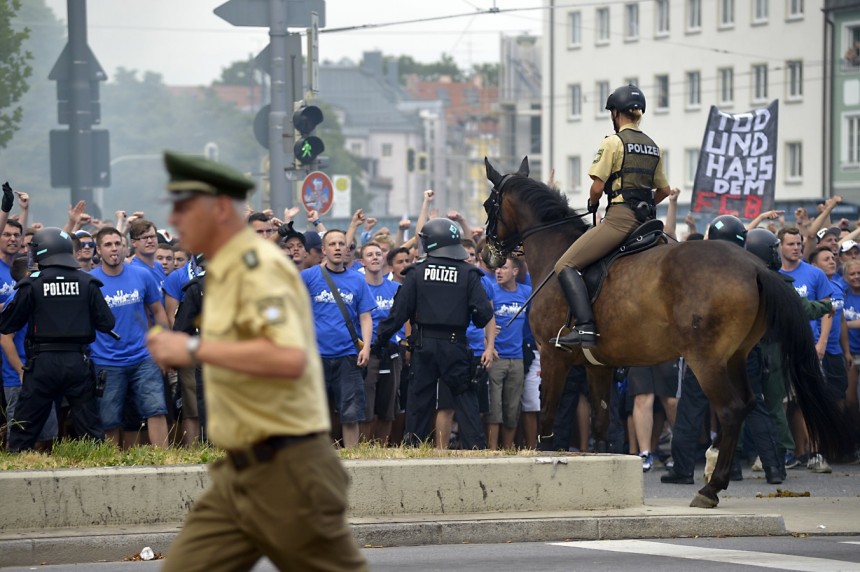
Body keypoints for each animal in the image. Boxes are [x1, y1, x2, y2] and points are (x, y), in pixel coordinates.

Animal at [480, 155, 848, 504]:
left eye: (488, 205)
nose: (485, 252)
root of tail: (754, 267)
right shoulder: (598, 366)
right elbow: (601, 423)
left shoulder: (553, 356)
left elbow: (547, 420)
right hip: (735, 358)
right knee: (746, 405)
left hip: (706, 361)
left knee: (730, 410)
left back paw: (711, 487)